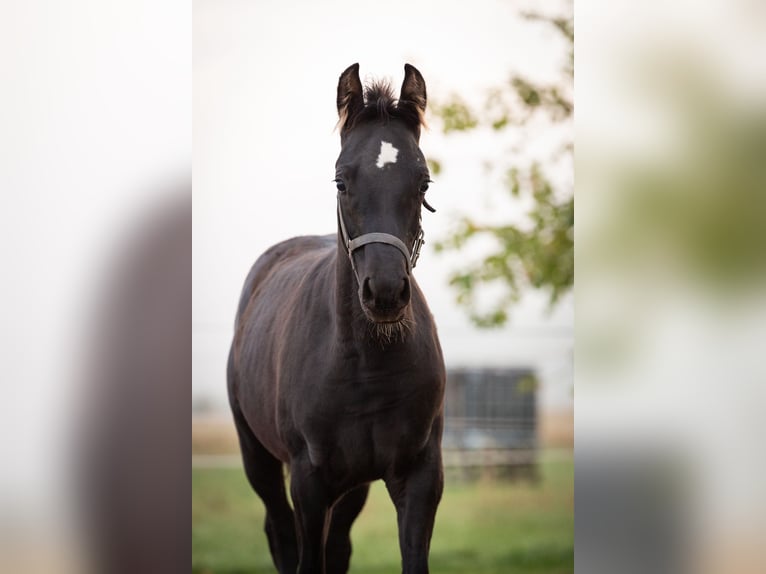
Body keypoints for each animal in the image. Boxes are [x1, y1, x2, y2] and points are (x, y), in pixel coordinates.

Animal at [228, 63, 444, 574]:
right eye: (341, 181)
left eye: (423, 183)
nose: (385, 293)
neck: (366, 364)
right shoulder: (309, 482)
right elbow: (307, 557)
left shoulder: (421, 475)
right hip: (258, 459)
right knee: (281, 534)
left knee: (338, 546)